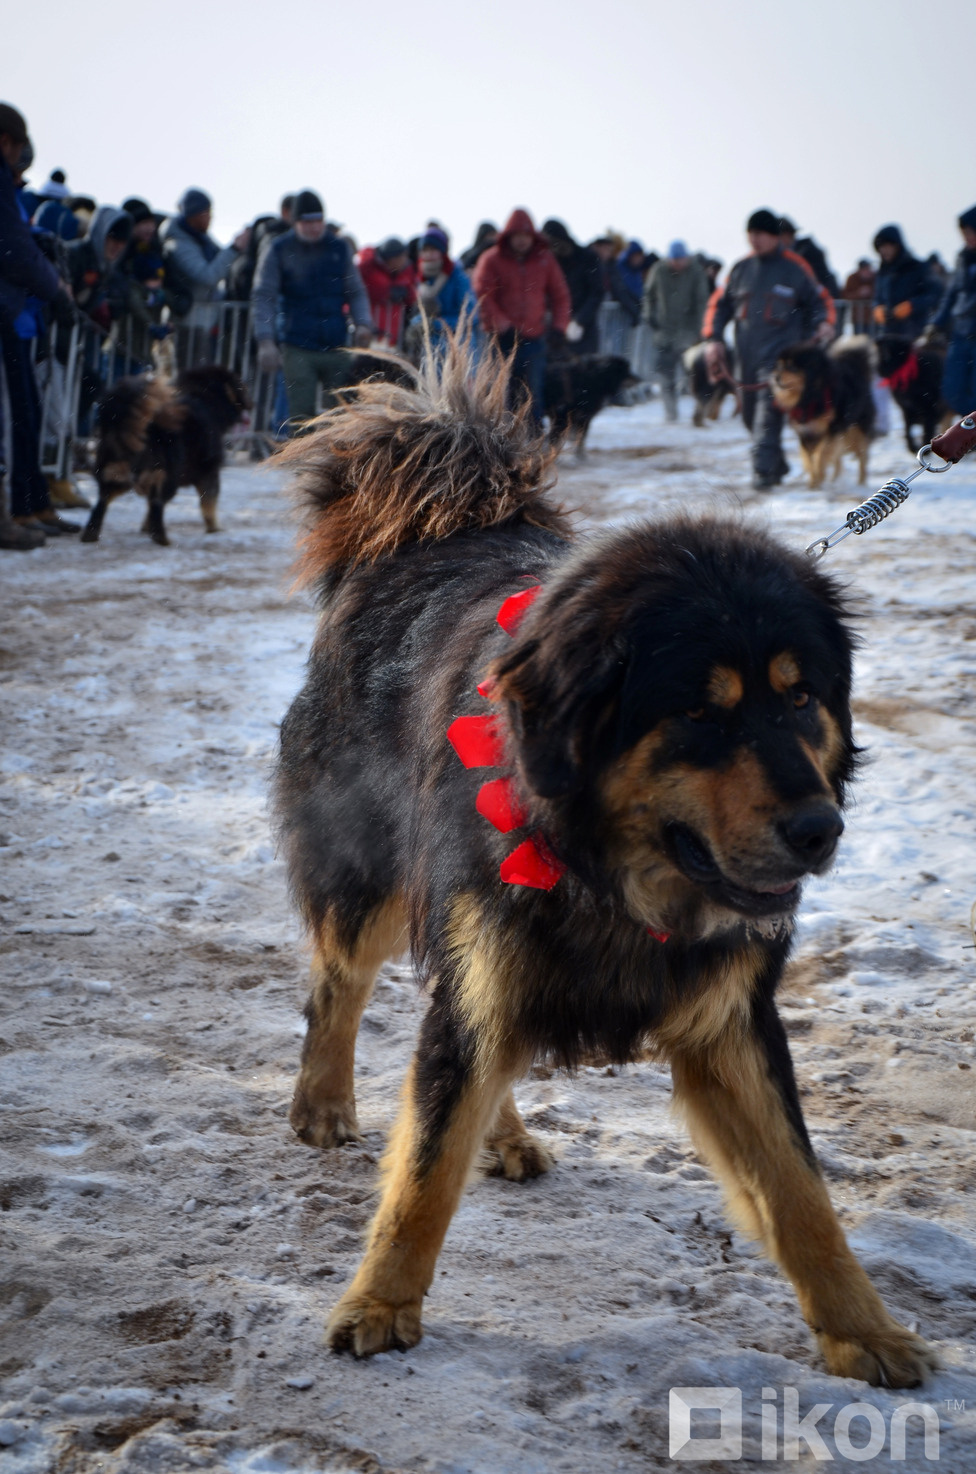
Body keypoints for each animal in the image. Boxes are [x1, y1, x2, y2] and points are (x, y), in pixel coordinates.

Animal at [82, 362, 250, 548]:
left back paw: (90, 534)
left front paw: (145, 528)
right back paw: (162, 538)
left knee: (102, 501)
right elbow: (209, 502)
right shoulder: (209, 470)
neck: (205, 397)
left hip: (115, 471)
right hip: (165, 475)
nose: (252, 405)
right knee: (157, 504)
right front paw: (214, 528)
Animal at [772, 336, 878, 489]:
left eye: (792, 367)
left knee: (862, 458)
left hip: (857, 433)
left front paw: (819, 476)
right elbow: (807, 457)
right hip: (844, 435)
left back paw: (861, 484)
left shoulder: (831, 429)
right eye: (780, 366)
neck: (809, 397)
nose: (775, 377)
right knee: (838, 458)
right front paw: (813, 482)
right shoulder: (805, 432)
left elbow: (820, 454)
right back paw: (835, 480)